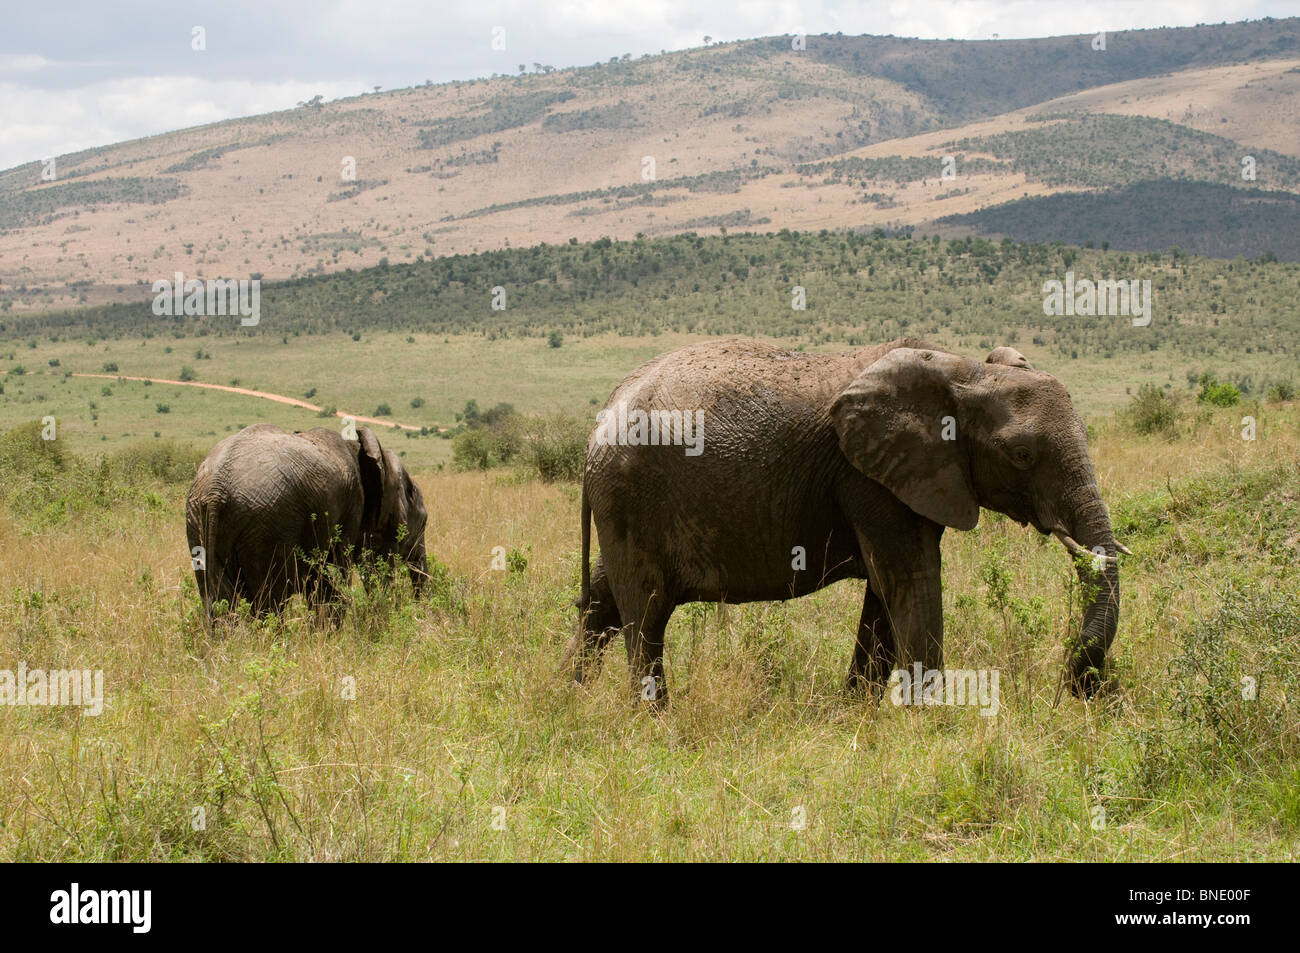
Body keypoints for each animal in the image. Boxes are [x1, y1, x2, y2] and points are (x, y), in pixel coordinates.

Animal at [186, 423, 428, 624]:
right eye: (410, 492)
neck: (358, 447)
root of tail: (216, 490)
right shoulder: (351, 507)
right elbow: (334, 575)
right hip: (267, 528)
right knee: (269, 601)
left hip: (198, 522)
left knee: (219, 602)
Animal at [565, 337, 1125, 704]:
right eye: (1022, 455)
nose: (1077, 686)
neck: (964, 369)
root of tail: (599, 420)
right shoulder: (868, 478)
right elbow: (911, 581)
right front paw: (932, 725)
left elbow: (884, 595)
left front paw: (856, 713)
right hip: (630, 496)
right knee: (646, 613)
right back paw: (657, 720)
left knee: (604, 600)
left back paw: (566, 697)